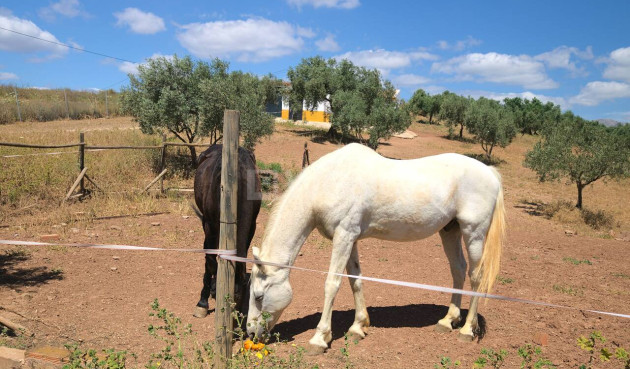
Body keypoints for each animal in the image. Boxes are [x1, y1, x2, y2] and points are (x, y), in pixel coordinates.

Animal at [193, 144, 262, 316]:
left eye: (241, 294)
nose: (237, 316)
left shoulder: (252, 226)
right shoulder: (209, 226)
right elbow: (210, 261)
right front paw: (202, 302)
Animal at [247, 142, 508, 350]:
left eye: (259, 296)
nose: (250, 332)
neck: (329, 182)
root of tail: (490, 172)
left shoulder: (343, 237)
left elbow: (332, 284)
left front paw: (320, 338)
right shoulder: (350, 238)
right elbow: (355, 279)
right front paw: (358, 327)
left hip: (473, 233)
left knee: (476, 276)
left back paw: (467, 329)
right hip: (450, 231)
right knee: (458, 270)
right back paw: (448, 321)